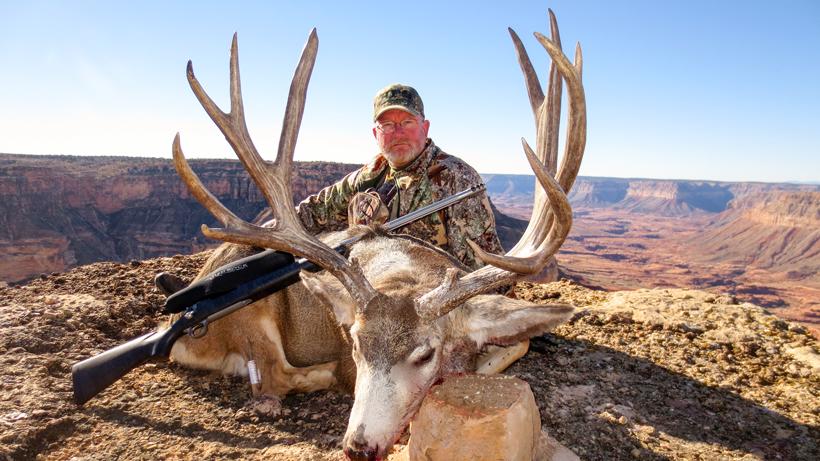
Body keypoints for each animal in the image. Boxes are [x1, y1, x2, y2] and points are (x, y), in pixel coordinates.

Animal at [168, 9, 584, 460]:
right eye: (355, 344)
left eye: (425, 353)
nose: (358, 445)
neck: (408, 274)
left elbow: (510, 348)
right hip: (252, 316)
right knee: (273, 376)